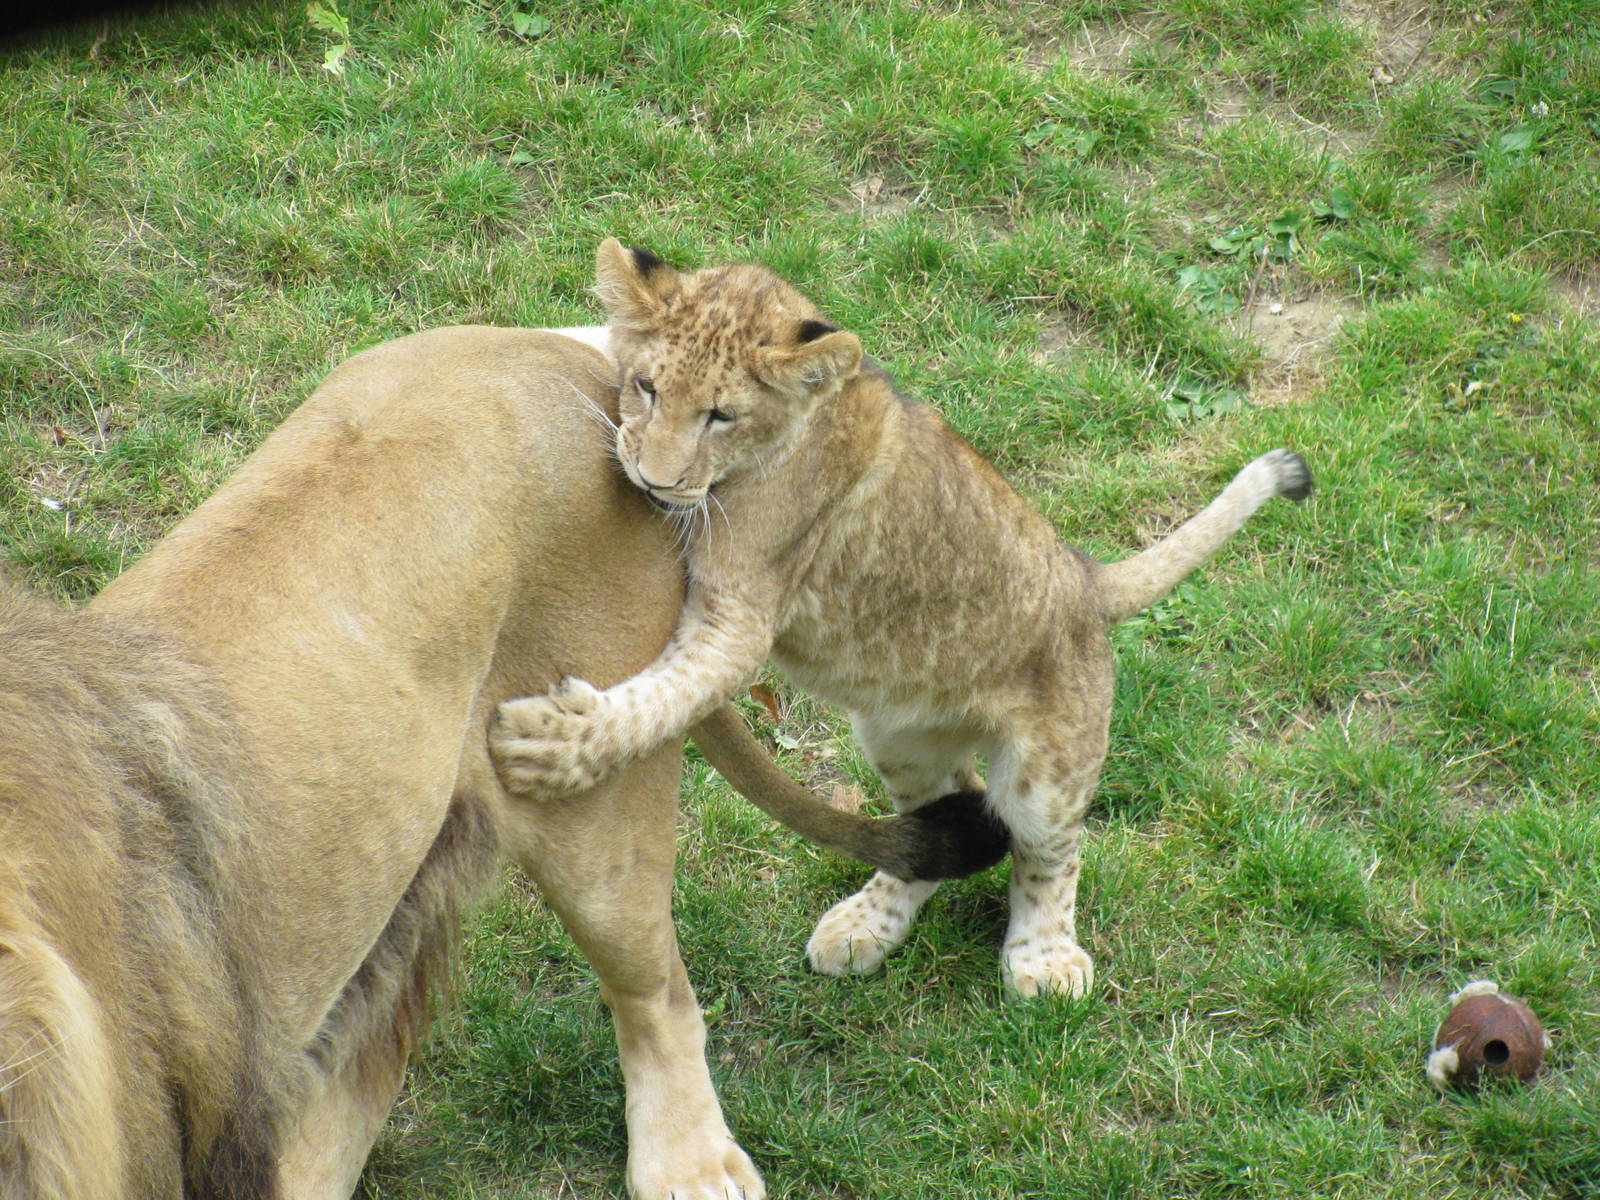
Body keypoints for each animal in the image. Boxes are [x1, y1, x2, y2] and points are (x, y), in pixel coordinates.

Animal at [492, 242, 1313, 1001]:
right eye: (647, 387)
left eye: (721, 416)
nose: (653, 480)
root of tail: (1085, 576)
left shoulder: (741, 617)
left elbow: (661, 699)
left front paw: (554, 748)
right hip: (901, 738)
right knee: (944, 813)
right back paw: (866, 924)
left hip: (1047, 768)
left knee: (1050, 852)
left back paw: (1043, 961)